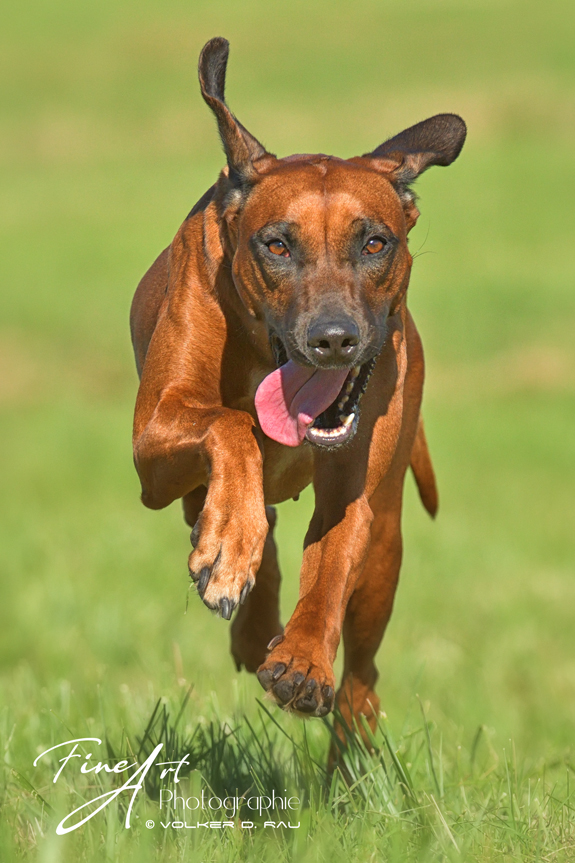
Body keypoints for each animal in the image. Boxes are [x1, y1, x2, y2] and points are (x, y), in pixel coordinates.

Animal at [129, 35, 464, 736]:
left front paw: (304, 660)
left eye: (375, 243)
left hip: (387, 551)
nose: (333, 340)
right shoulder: (153, 444)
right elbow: (229, 426)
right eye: (277, 245)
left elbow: (332, 562)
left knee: (363, 674)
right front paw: (230, 549)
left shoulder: (354, 489)